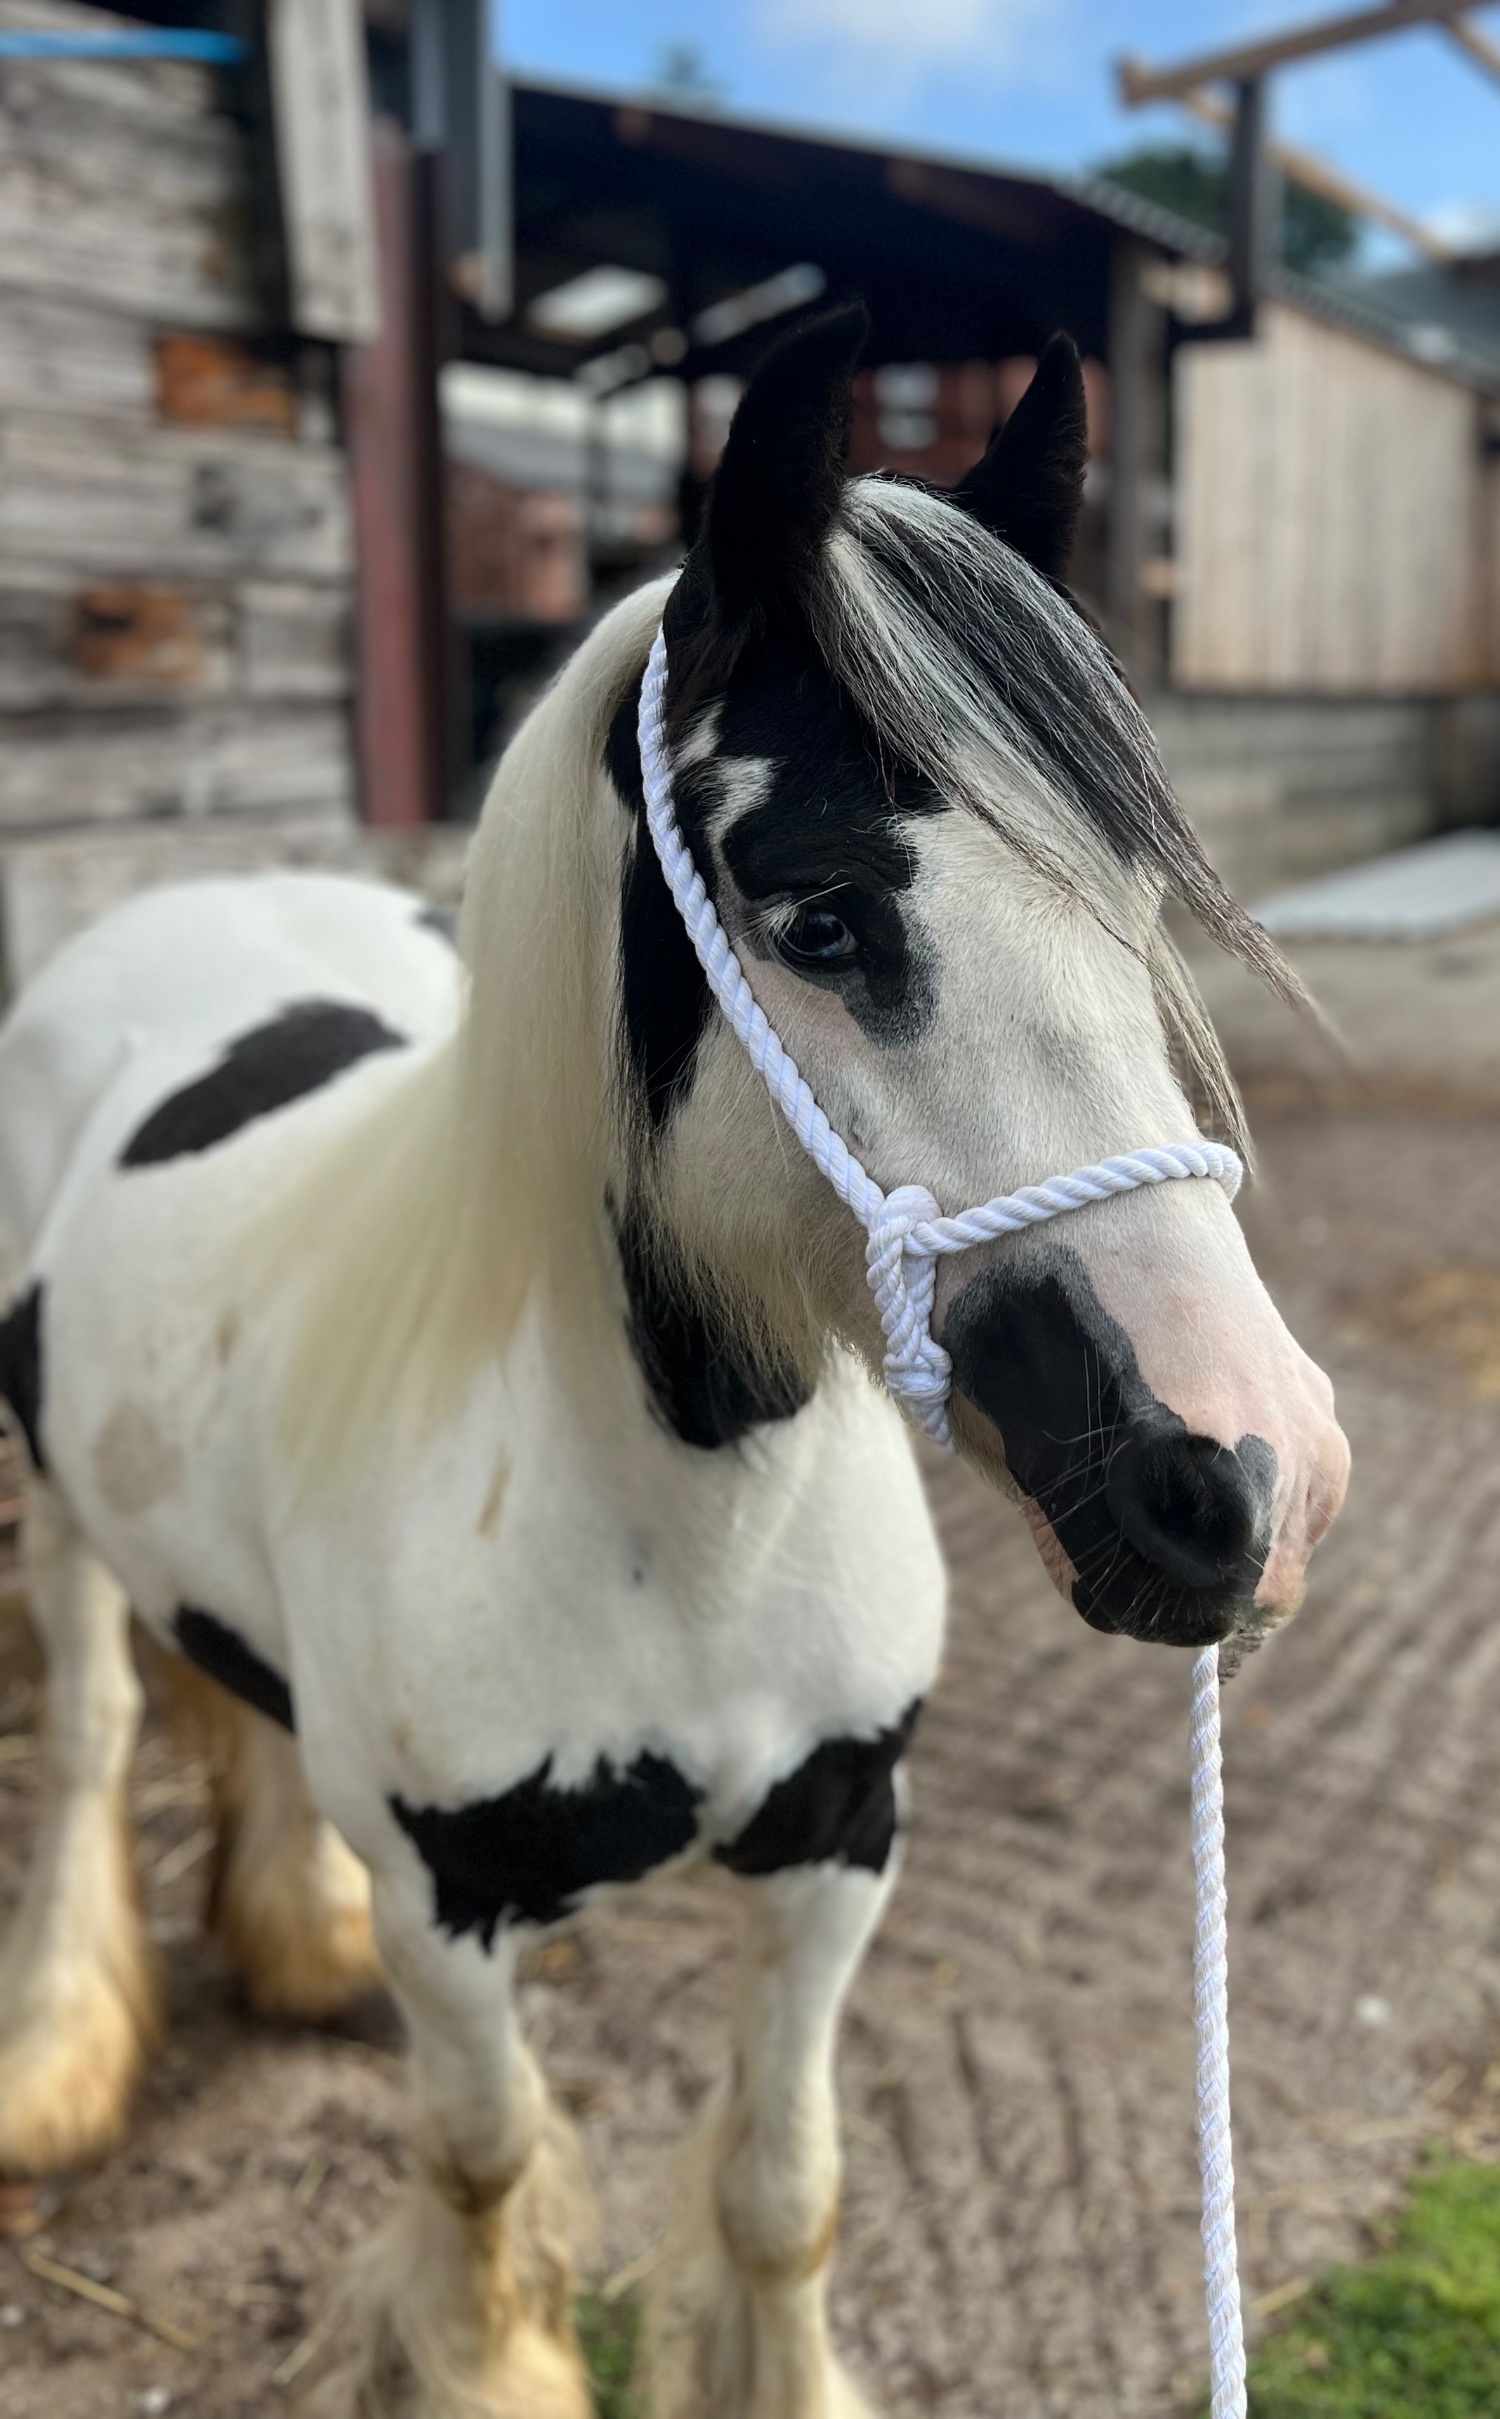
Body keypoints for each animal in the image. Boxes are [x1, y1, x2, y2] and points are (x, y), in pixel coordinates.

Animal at [0, 309, 1349, 2418]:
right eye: (820, 912)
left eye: (1134, 903)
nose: (1251, 1470)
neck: (678, 1530)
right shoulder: (453, 1915)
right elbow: (483, 2164)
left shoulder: (838, 1843)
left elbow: (781, 2189)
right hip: (58, 1520)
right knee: (86, 1741)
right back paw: (58, 2057)